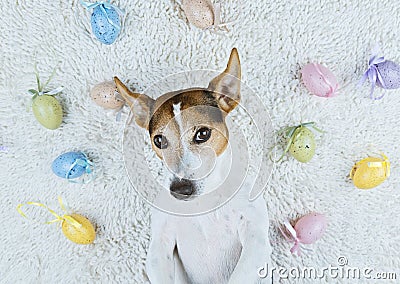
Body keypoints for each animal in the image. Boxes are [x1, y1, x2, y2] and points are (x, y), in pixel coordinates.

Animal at [114, 48, 274, 284]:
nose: (180, 189)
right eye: (159, 140)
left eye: (203, 133)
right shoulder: (159, 249)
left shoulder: (256, 241)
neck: (203, 202)